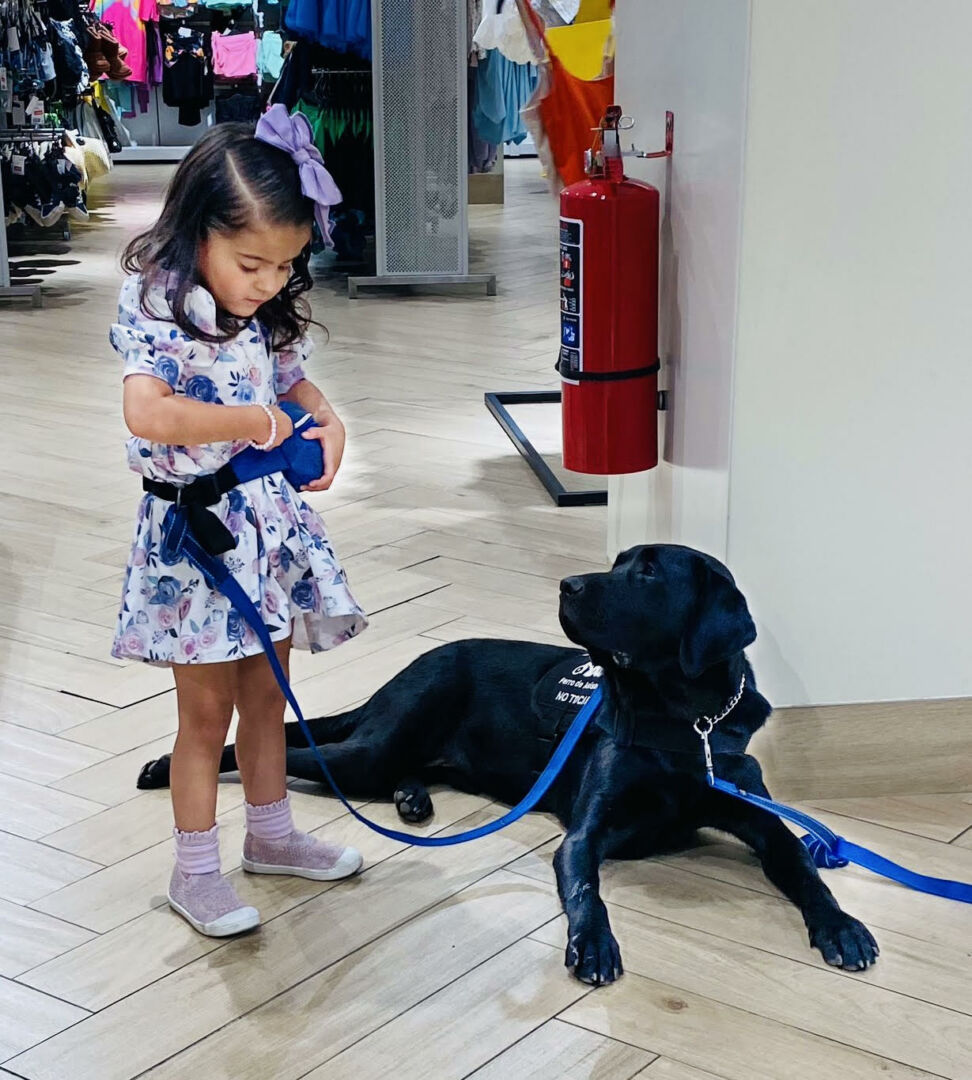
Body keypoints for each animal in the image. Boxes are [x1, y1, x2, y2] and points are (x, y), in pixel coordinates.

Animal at [138, 543, 878, 984]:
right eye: (618, 561)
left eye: (646, 572)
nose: (567, 584)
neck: (680, 721)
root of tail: (413, 666)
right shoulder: (585, 834)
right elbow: (586, 891)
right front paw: (594, 945)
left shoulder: (760, 818)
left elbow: (801, 865)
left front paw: (840, 925)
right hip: (376, 746)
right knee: (287, 746)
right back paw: (166, 766)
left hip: (405, 751)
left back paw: (412, 800)